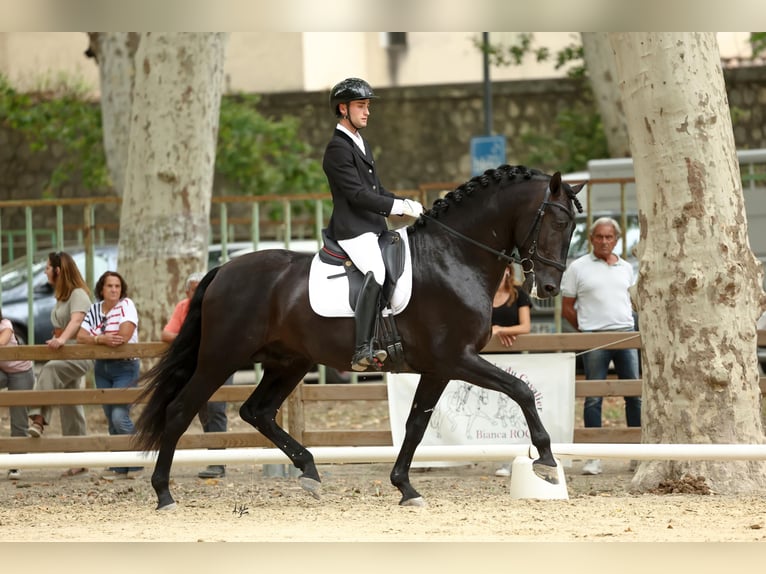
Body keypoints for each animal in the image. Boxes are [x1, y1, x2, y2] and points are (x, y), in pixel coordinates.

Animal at [133, 164, 585, 510]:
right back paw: (164, 494)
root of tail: (222, 270)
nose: (548, 288)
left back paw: (310, 472)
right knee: (180, 410)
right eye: (559, 222)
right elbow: (521, 390)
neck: (453, 257)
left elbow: (416, 424)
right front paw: (546, 460)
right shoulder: (457, 358)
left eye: (572, 226)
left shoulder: (440, 368)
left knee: (257, 412)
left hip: (289, 361)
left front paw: (405, 487)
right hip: (222, 356)